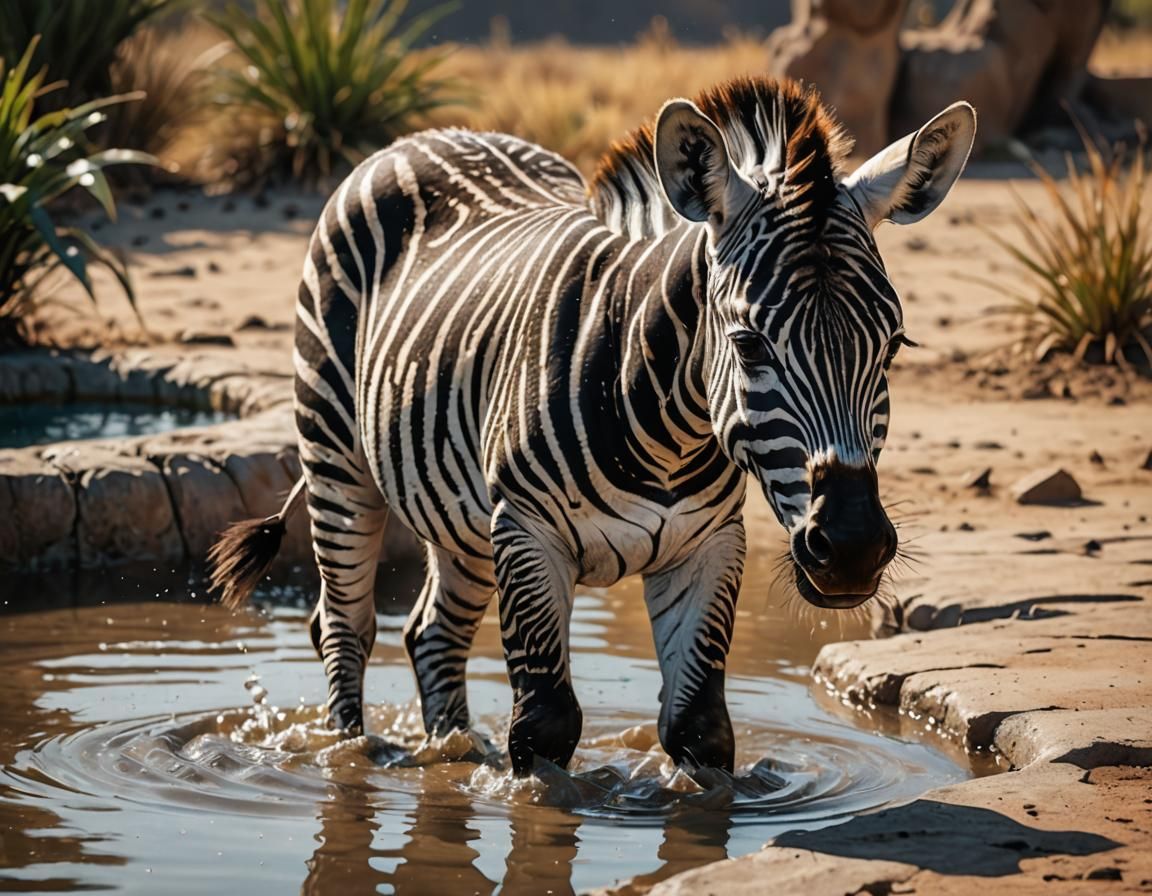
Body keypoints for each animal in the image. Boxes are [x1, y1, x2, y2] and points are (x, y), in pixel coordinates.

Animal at [210, 77, 975, 777]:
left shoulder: (708, 547)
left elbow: (700, 726)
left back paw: (453, 752)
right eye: (750, 343)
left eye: (894, 346)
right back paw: (349, 757)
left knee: (432, 632)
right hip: (335, 454)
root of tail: (423, 138)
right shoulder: (528, 535)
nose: (852, 549)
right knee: (344, 623)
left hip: (461, 512)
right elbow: (545, 724)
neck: (667, 436)